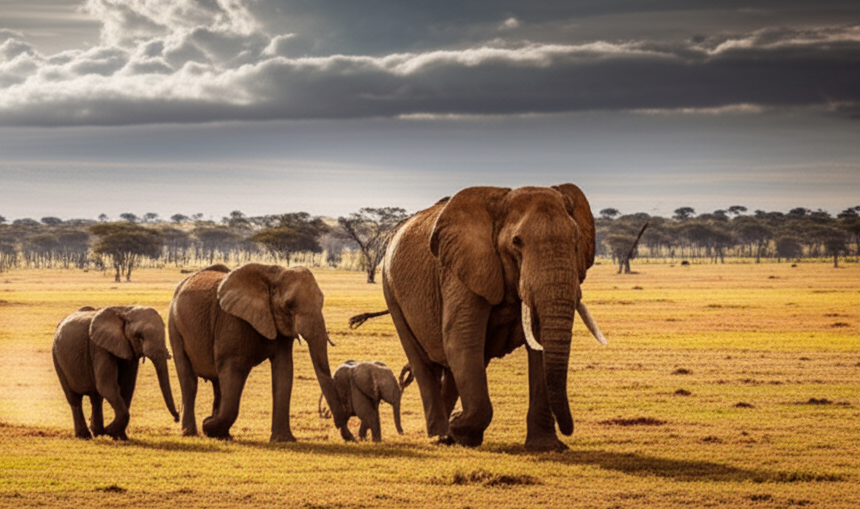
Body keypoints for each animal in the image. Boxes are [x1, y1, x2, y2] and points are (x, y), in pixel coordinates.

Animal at [52, 306, 179, 440]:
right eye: (139, 337)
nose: (177, 417)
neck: (125, 310)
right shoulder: (100, 348)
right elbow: (107, 386)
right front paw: (110, 431)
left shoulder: (127, 350)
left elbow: (127, 387)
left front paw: (120, 437)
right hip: (57, 359)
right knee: (74, 399)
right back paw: (85, 436)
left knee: (96, 398)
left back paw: (98, 433)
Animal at [168, 263, 353, 442]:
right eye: (288, 305)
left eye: (322, 302)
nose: (349, 436)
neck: (273, 274)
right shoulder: (232, 321)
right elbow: (233, 369)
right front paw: (208, 425)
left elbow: (284, 370)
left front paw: (283, 440)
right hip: (174, 325)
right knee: (189, 381)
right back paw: (190, 433)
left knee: (217, 383)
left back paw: (221, 434)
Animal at [380, 184, 607, 451]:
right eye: (517, 242)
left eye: (576, 239)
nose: (568, 431)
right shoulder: (461, 270)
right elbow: (462, 340)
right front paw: (458, 426)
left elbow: (538, 345)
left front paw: (547, 447)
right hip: (390, 289)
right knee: (425, 364)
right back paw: (439, 434)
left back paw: (448, 436)